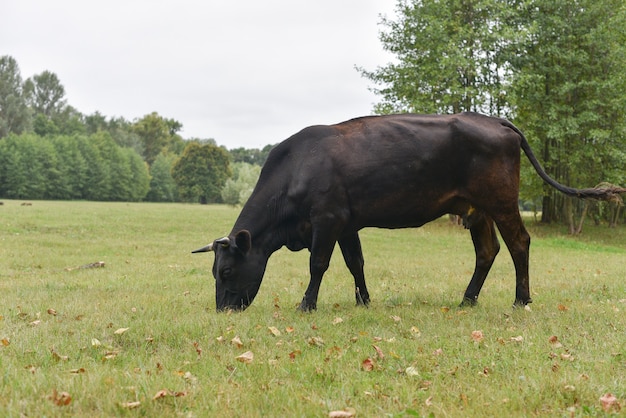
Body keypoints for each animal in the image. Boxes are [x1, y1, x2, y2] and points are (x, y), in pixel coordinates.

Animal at [193, 112, 620, 312]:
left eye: (226, 271)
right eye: (214, 272)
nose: (223, 310)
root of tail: (493, 118)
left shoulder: (327, 219)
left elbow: (318, 264)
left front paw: (306, 304)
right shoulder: (346, 222)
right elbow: (355, 263)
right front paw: (364, 302)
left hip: (500, 201)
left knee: (519, 242)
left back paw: (521, 300)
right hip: (477, 209)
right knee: (488, 251)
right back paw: (467, 299)